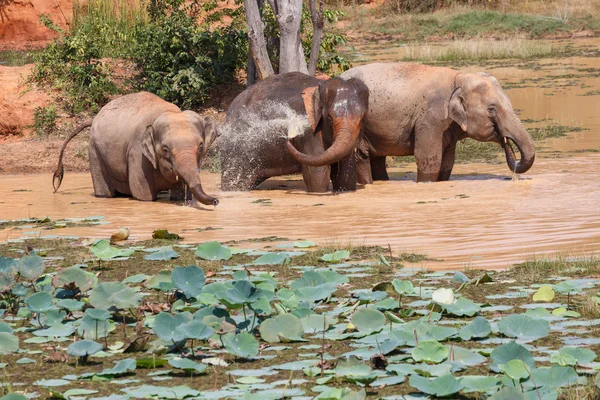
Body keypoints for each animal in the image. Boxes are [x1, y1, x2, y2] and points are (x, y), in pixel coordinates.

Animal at [52, 91, 220, 206]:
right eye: (165, 150)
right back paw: (103, 196)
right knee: (105, 190)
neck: (169, 112)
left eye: (200, 147)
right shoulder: (137, 152)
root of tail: (95, 117)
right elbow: (143, 195)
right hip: (94, 150)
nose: (216, 201)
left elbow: (178, 193)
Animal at [220, 72, 370, 193]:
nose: (289, 137)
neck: (319, 88)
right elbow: (317, 174)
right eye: (329, 118)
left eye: (363, 118)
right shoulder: (310, 131)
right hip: (236, 153)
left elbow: (347, 171)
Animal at [288, 62, 536, 183]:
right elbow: (429, 159)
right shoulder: (430, 118)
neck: (458, 77)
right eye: (492, 109)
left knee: (377, 160)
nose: (506, 141)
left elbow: (447, 162)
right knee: (363, 158)